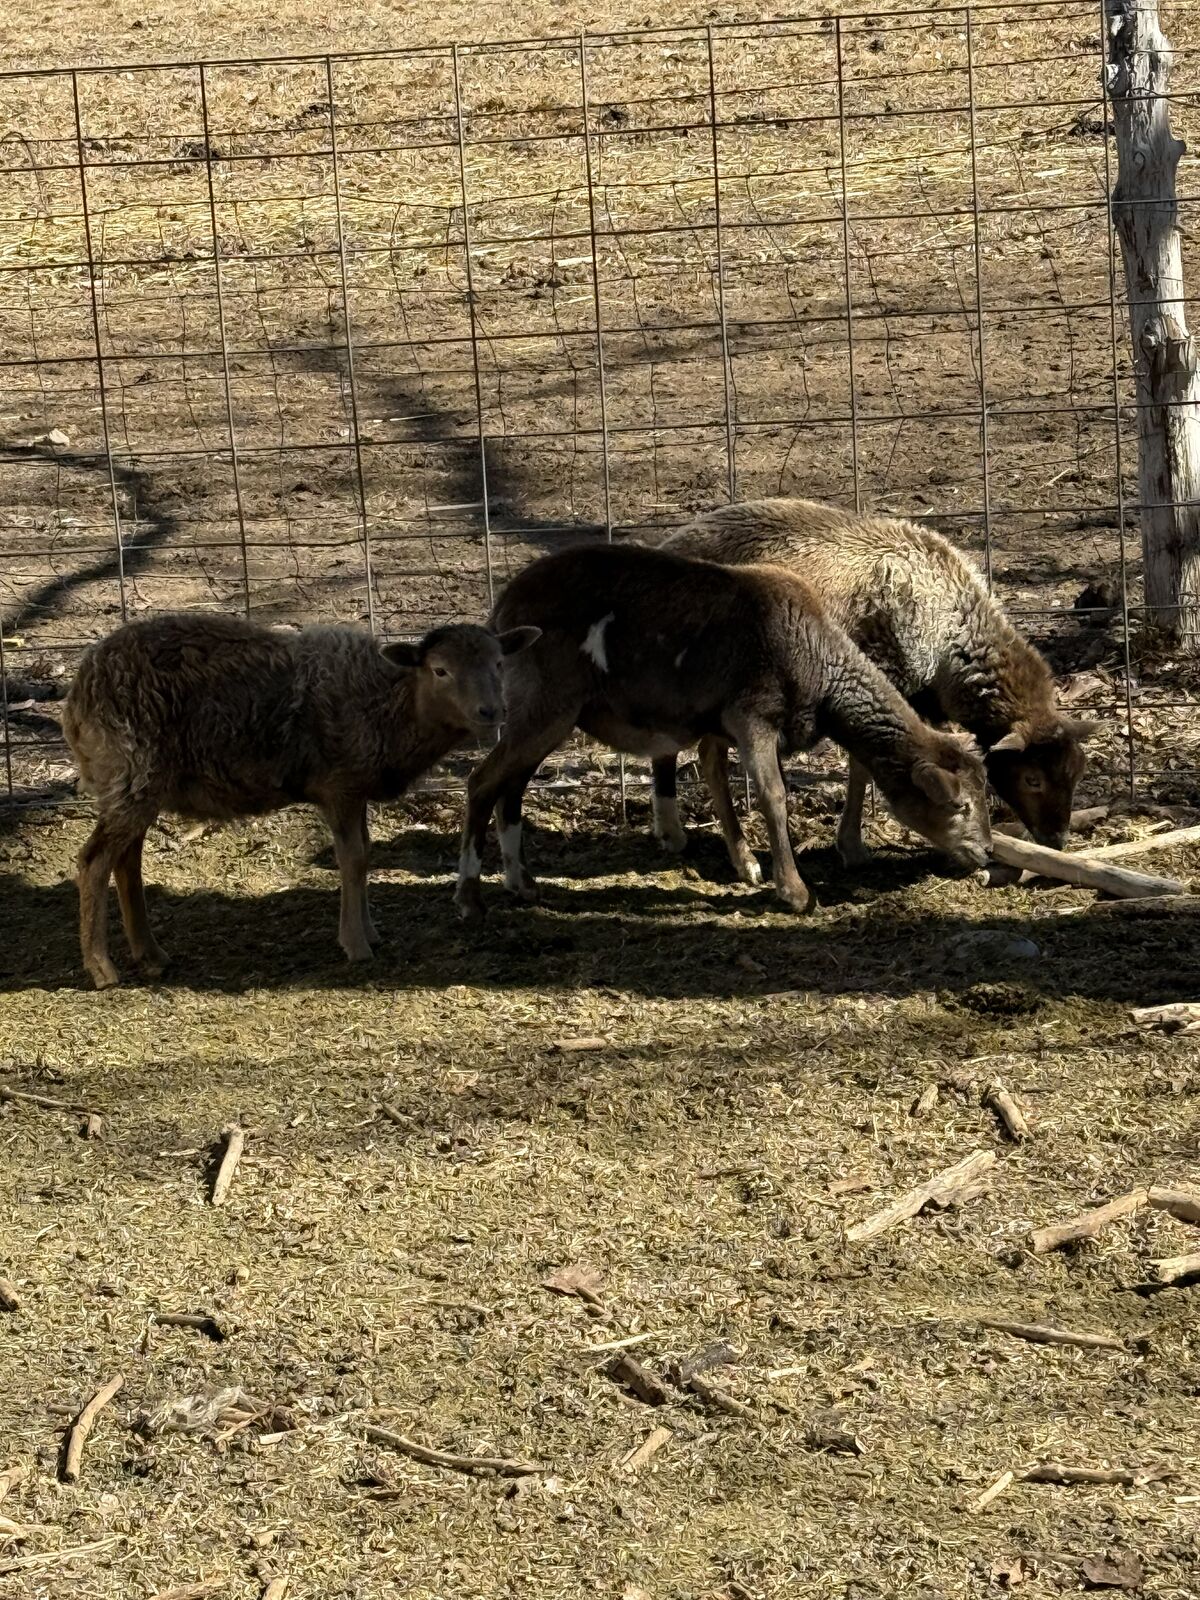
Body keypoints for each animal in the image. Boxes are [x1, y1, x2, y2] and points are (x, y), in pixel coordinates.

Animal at [63, 612, 539, 988]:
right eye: (440, 670)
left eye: (499, 663)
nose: (492, 712)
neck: (389, 705)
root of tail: (76, 698)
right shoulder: (339, 786)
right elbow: (352, 859)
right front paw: (355, 944)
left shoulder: (356, 790)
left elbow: (364, 853)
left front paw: (370, 930)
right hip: (132, 772)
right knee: (94, 861)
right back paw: (102, 969)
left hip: (139, 785)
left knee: (126, 860)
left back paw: (151, 955)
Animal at [453, 542, 992, 922]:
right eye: (960, 805)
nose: (987, 850)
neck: (820, 666)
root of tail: (503, 614)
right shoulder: (751, 715)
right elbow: (772, 794)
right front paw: (794, 891)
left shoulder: (719, 720)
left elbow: (720, 775)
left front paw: (750, 866)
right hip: (544, 704)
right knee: (481, 782)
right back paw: (470, 898)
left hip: (548, 716)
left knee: (511, 787)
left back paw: (522, 884)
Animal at [657, 498, 1098, 866]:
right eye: (1032, 778)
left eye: (1077, 772)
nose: (1057, 840)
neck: (951, 633)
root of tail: (671, 542)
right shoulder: (881, 675)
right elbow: (861, 769)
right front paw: (851, 846)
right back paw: (698, 840)